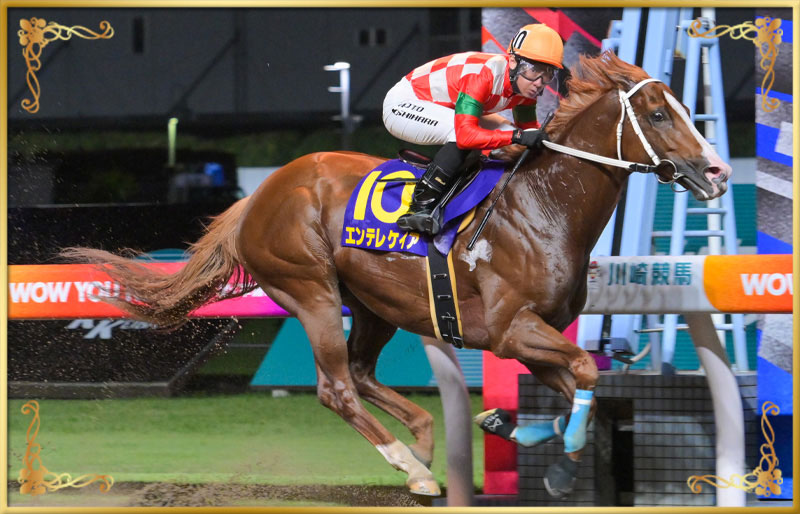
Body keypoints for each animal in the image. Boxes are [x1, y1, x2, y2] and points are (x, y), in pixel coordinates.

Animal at [62, 51, 731, 498]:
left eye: (683, 108)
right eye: (657, 113)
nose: (719, 172)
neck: (544, 207)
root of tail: (258, 196)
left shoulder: (536, 334)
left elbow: (576, 389)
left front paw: (516, 429)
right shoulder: (510, 329)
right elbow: (586, 372)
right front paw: (558, 461)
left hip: (373, 302)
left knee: (361, 373)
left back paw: (423, 445)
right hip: (311, 291)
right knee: (336, 387)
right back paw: (410, 466)